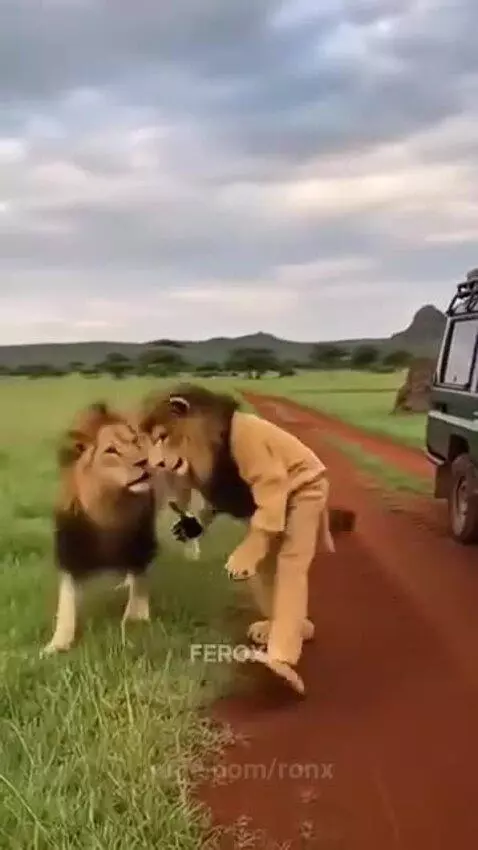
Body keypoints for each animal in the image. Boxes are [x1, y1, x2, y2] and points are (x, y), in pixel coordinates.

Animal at [41, 402, 158, 656]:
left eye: (135, 442)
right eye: (111, 451)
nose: (144, 461)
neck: (110, 507)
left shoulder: (140, 541)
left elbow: (140, 579)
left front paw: (136, 618)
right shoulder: (71, 551)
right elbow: (66, 601)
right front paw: (57, 644)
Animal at [138, 383, 355, 695]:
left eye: (162, 437)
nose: (154, 463)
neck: (205, 448)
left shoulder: (253, 454)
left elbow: (270, 491)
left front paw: (238, 562)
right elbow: (209, 508)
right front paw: (190, 527)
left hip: (309, 498)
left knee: (289, 569)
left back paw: (280, 665)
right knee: (266, 573)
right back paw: (278, 629)